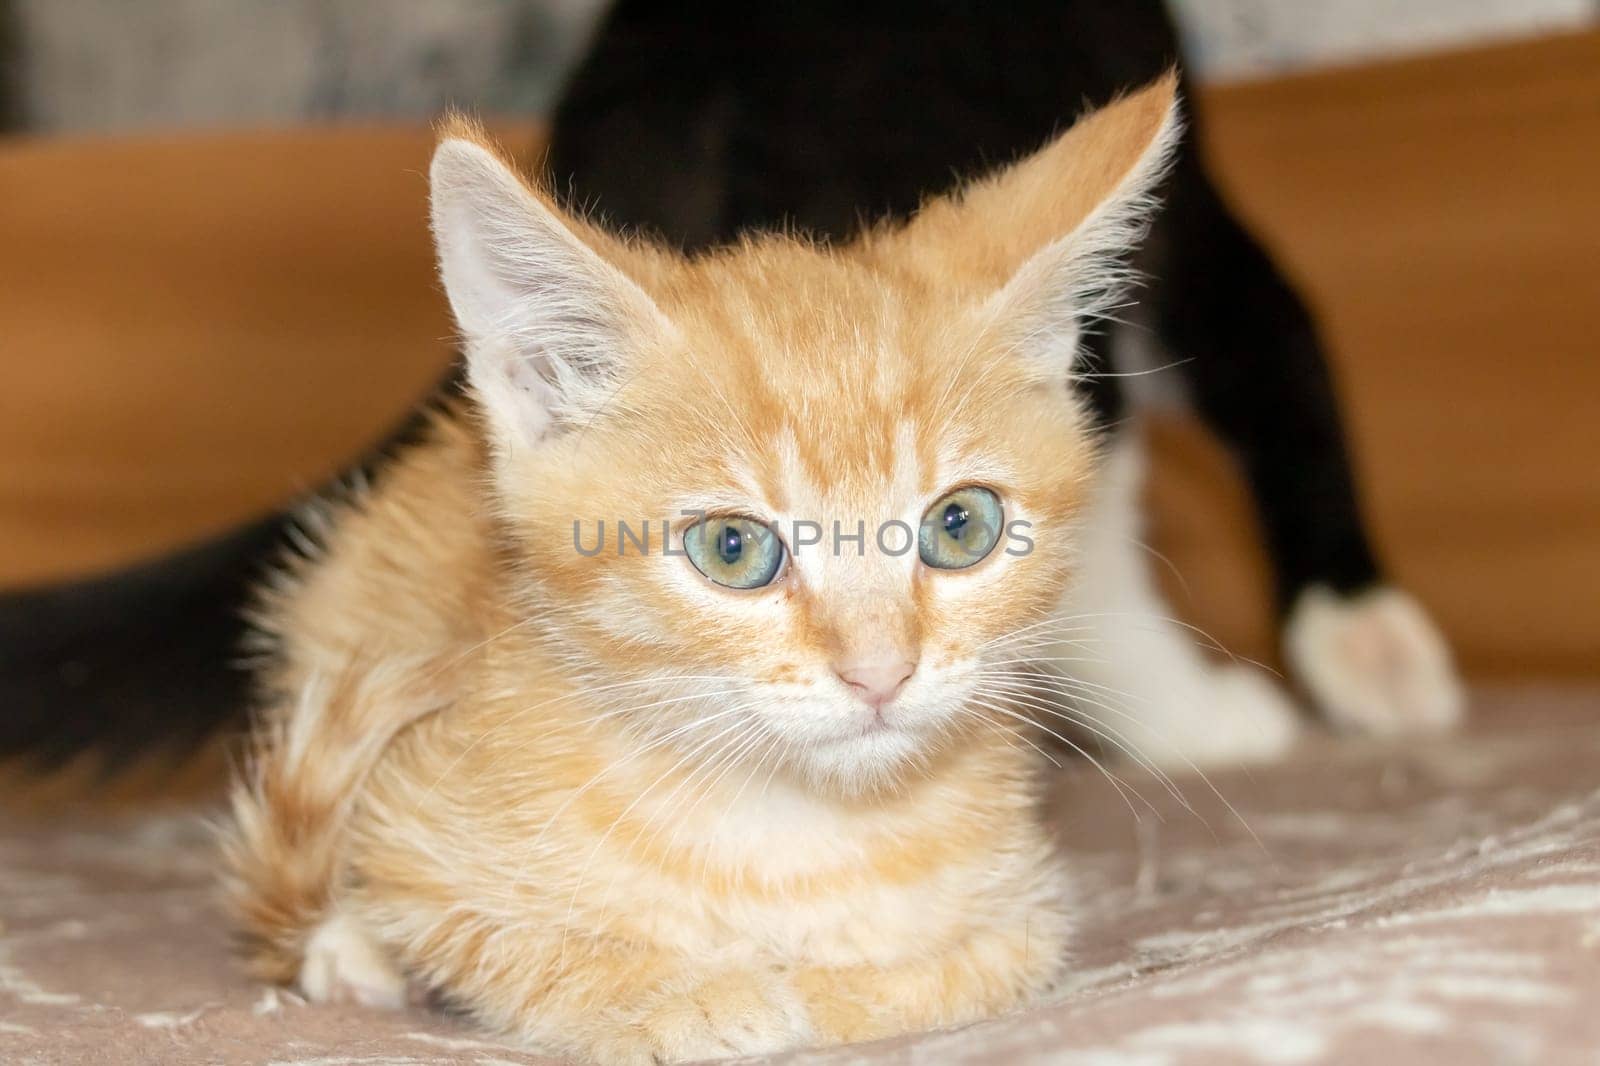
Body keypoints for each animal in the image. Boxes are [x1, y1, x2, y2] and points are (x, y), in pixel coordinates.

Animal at [222, 78, 1177, 1056]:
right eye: (733, 549)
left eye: (961, 526)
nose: (881, 673)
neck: (794, 837)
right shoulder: (420, 834)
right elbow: (507, 940)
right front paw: (687, 1000)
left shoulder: (1028, 914)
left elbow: (966, 973)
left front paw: (835, 992)